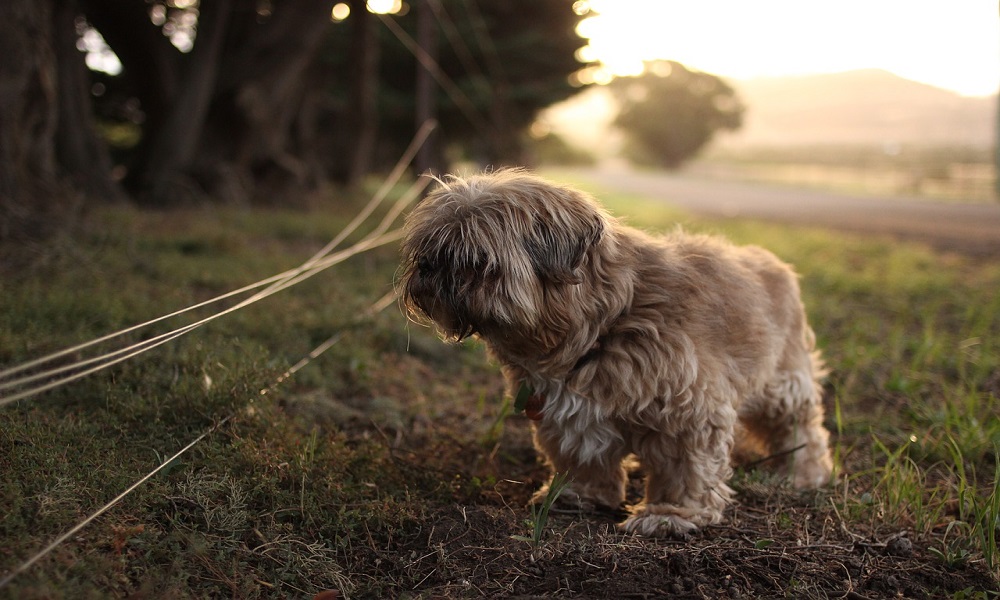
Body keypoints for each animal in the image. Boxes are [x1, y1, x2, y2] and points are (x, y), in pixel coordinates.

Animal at [398, 168, 828, 536]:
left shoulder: (689, 410)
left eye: (473, 257)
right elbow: (582, 454)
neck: (603, 321)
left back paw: (802, 473)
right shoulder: (567, 409)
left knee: (801, 429)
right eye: (429, 248)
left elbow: (686, 466)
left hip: (783, 385)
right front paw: (580, 495)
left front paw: (671, 514)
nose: (428, 266)